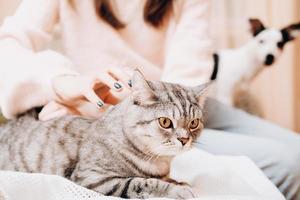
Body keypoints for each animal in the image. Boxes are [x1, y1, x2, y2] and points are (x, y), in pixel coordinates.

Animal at [0, 70, 210, 198]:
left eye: (194, 123)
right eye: (165, 122)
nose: (184, 139)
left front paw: (180, 182)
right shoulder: (93, 178)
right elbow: (142, 182)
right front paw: (178, 190)